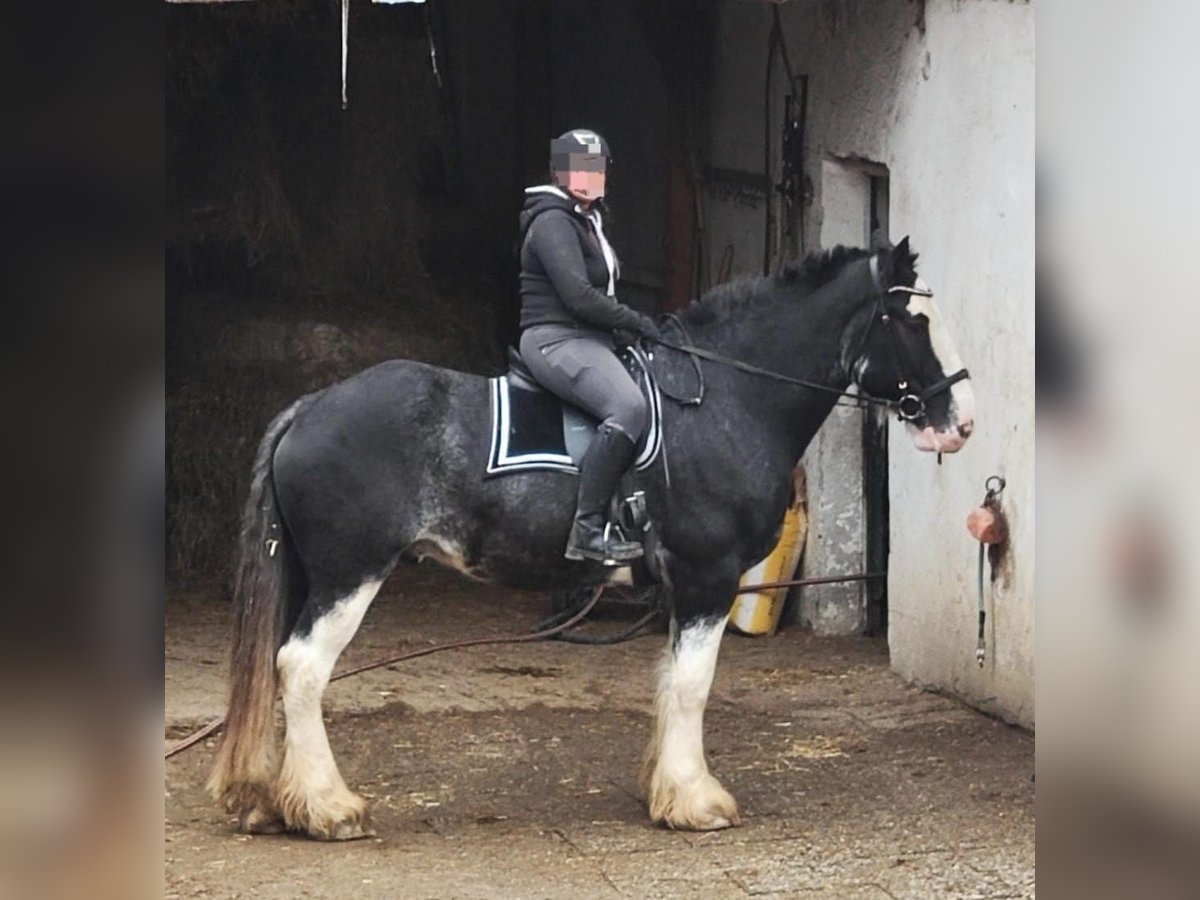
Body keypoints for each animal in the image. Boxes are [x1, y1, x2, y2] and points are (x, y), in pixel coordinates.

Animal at [206, 237, 974, 840]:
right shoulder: (708, 575)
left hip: (313, 575)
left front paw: (667, 791)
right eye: (913, 321)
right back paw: (328, 808)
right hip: (350, 574)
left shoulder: (681, 586)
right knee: (303, 668)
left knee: (279, 666)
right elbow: (693, 684)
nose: (961, 422)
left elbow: (669, 681)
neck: (726, 401)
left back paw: (270, 800)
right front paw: (698, 802)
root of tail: (312, 406)